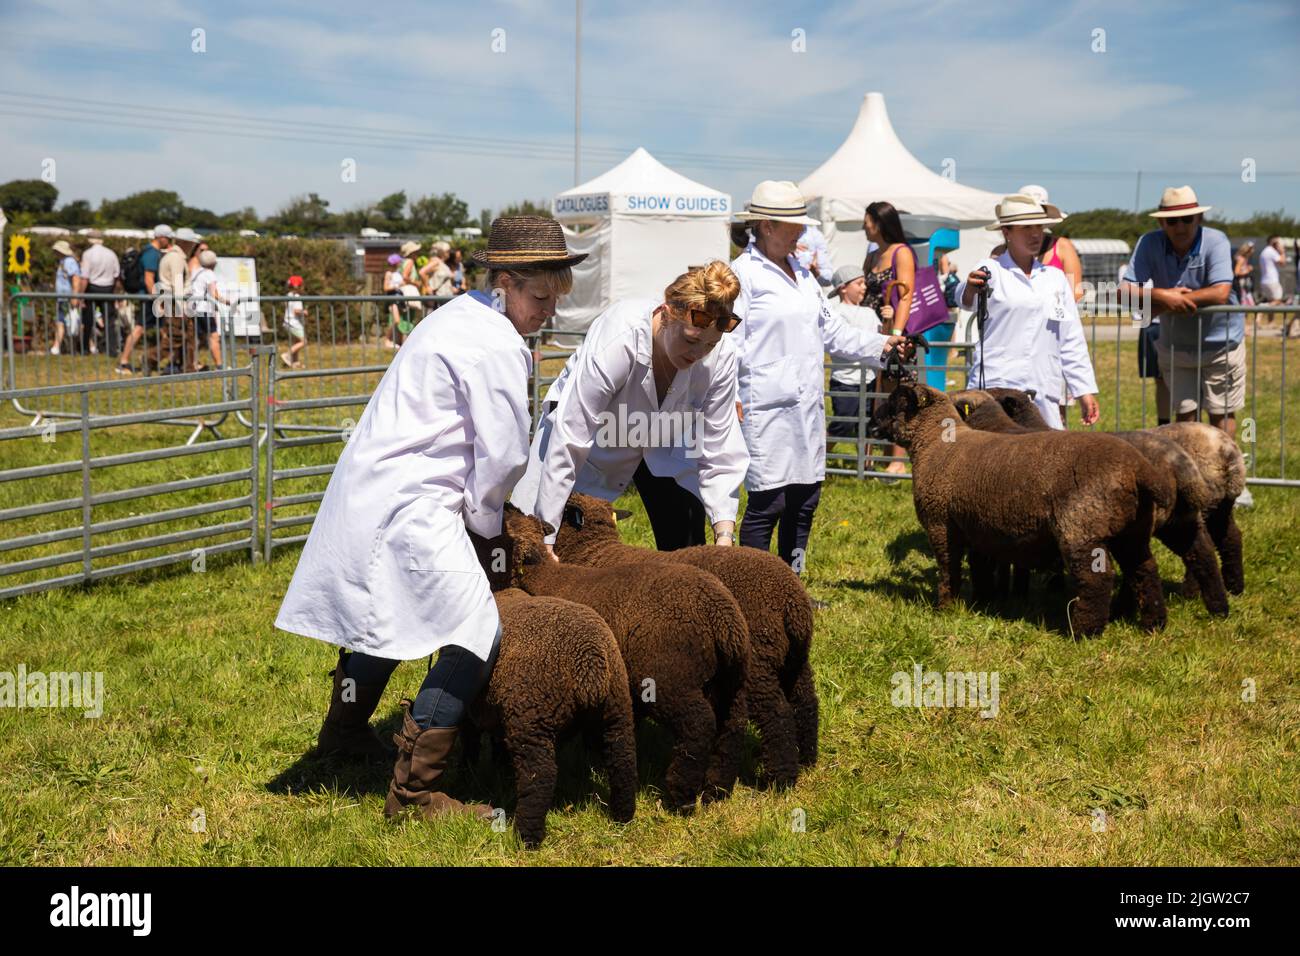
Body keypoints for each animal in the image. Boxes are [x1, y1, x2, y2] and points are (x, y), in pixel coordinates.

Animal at [467, 587, 639, 848]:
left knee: (541, 778)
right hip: (617, 710)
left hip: (531, 720)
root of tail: (590, 663)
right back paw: (622, 817)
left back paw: (526, 839)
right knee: (623, 761)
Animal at [504, 509, 759, 816]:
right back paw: (716, 792)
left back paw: (681, 796)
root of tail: (722, 617)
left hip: (672, 681)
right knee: (733, 725)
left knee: (699, 724)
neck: (547, 576)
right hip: (731, 681)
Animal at [548, 494, 811, 790]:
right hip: (793, 658)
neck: (594, 551)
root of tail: (792, 599)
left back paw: (781, 778)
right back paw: (807, 759)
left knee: (776, 712)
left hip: (758, 662)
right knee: (805, 700)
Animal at [868, 382, 1175, 634]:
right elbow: (981, 567)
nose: (870, 423)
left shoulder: (941, 523)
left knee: (1097, 579)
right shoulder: (978, 526)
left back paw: (1084, 632)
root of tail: (1138, 467)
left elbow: (948, 568)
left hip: (1082, 529)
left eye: (896, 401)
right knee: (1144, 570)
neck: (935, 443)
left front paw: (945, 608)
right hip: (1133, 531)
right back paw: (1154, 624)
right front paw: (983, 600)